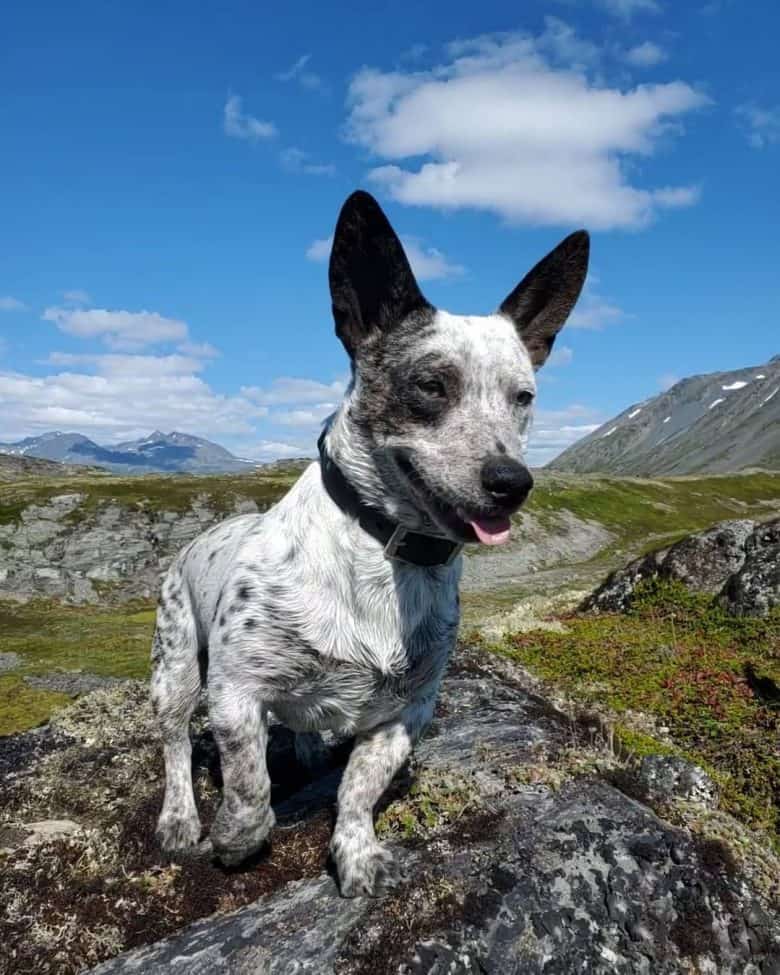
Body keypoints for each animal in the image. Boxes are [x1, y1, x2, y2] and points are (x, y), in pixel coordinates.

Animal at [151, 193, 592, 900]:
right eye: (431, 385)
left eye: (523, 397)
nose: (512, 483)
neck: (388, 551)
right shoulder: (236, 693)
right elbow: (249, 787)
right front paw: (237, 840)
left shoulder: (405, 714)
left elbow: (359, 789)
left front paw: (356, 852)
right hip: (176, 668)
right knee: (173, 745)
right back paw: (180, 819)